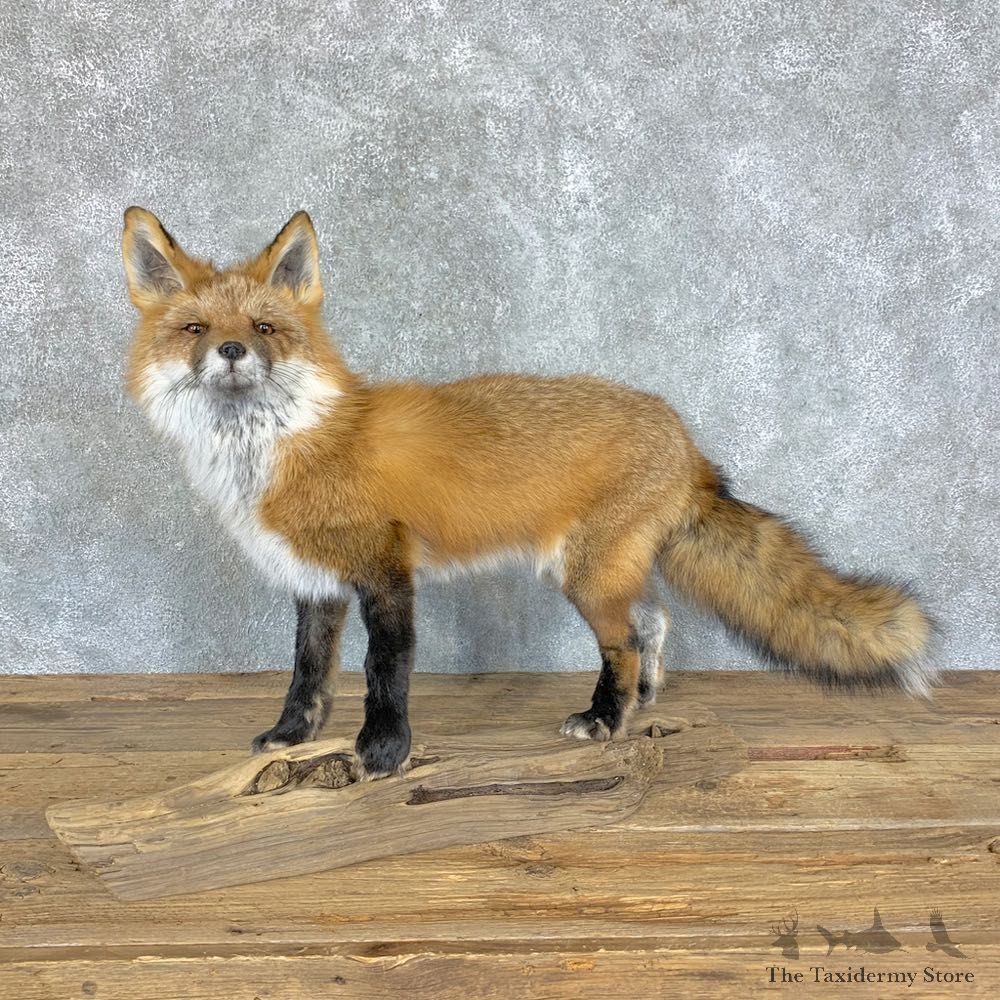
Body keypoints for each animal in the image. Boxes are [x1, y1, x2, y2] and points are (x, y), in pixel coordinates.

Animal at [121, 207, 936, 779]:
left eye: (265, 327)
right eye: (196, 328)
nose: (232, 351)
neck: (284, 447)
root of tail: (683, 435)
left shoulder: (386, 571)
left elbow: (384, 676)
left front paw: (382, 755)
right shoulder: (316, 582)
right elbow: (307, 674)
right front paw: (292, 736)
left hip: (584, 573)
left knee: (625, 642)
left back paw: (607, 720)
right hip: (600, 568)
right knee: (653, 621)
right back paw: (641, 702)